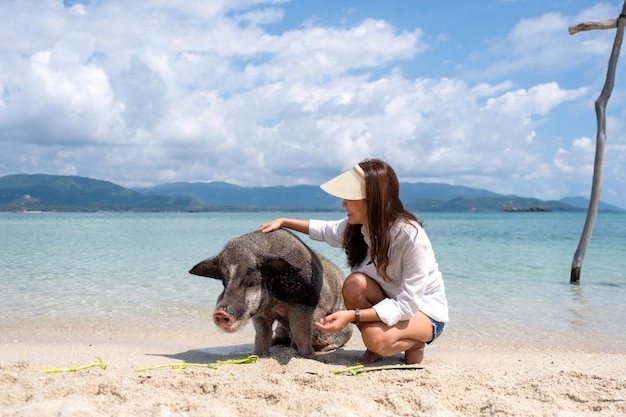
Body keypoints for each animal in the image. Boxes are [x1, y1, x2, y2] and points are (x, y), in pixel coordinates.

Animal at [188, 228, 352, 358]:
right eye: (223, 279)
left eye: (251, 273)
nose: (220, 313)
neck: (275, 302)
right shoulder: (260, 313)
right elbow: (262, 334)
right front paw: (257, 355)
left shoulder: (303, 301)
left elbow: (300, 331)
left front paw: (310, 356)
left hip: (345, 329)